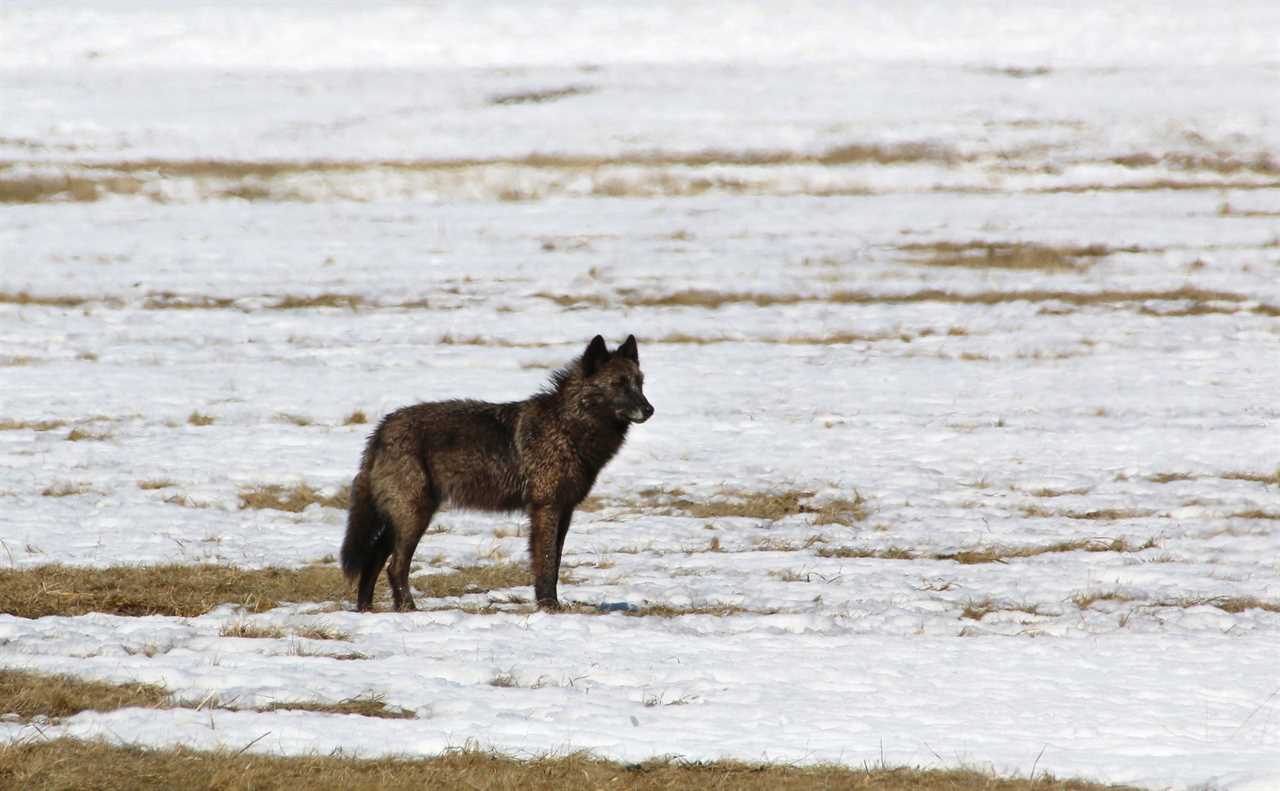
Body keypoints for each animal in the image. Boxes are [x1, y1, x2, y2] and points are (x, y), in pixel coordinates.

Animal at [340, 332, 655, 609]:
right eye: (618, 384)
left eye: (639, 384)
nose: (650, 410)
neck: (568, 427)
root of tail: (381, 430)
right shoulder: (546, 507)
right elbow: (546, 562)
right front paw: (549, 607)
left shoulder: (565, 510)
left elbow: (554, 562)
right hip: (414, 516)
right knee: (395, 567)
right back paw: (408, 609)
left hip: (403, 518)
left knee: (374, 558)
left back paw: (366, 609)